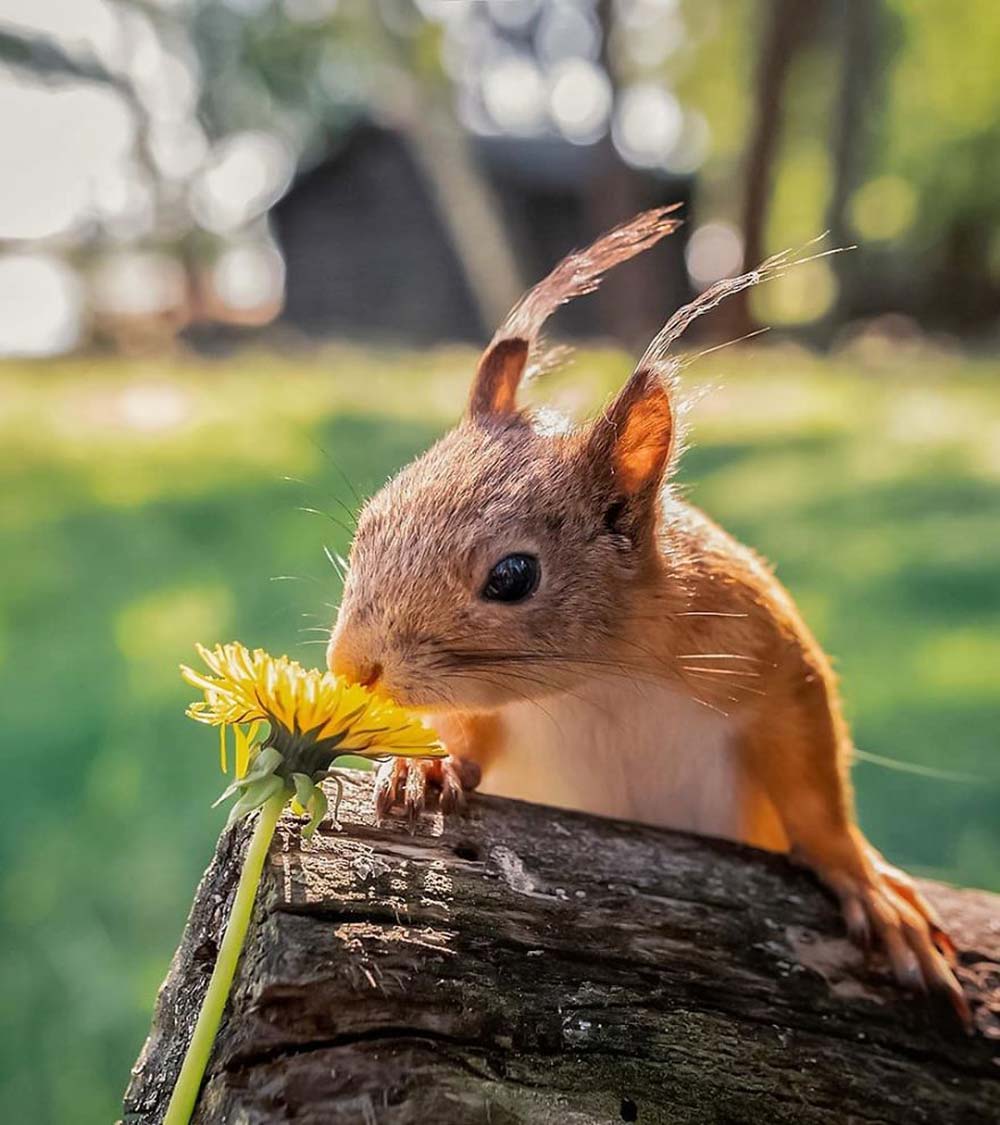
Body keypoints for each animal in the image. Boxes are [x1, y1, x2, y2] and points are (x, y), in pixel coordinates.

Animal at [326, 207, 967, 1026]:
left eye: (513, 575)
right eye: (369, 522)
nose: (351, 665)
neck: (600, 684)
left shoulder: (767, 654)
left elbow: (814, 780)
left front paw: (863, 879)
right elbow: (473, 733)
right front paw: (426, 763)